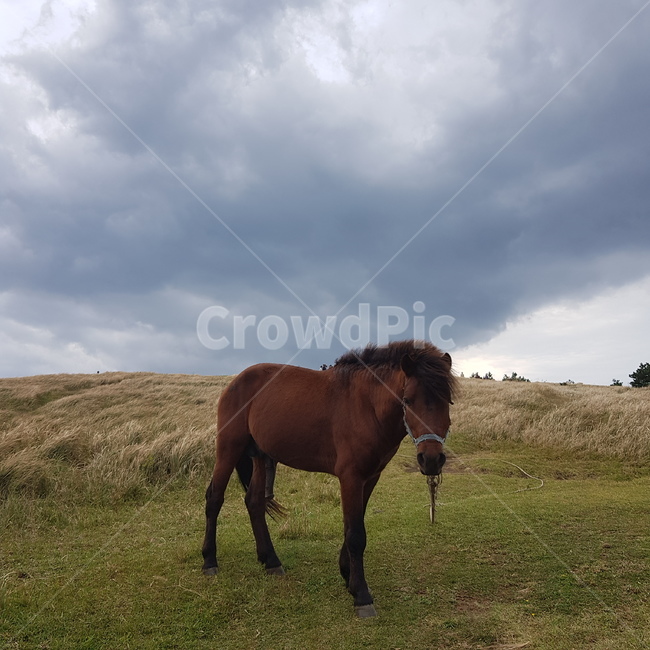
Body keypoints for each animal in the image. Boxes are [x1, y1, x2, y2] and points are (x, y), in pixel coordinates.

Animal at [201, 340, 457, 617]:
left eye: (447, 401)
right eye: (408, 400)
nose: (431, 460)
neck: (366, 406)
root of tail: (236, 381)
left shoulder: (370, 477)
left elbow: (354, 526)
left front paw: (348, 576)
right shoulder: (351, 477)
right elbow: (356, 534)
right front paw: (362, 595)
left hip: (260, 456)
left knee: (254, 502)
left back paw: (270, 560)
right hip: (229, 448)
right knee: (214, 499)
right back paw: (209, 561)